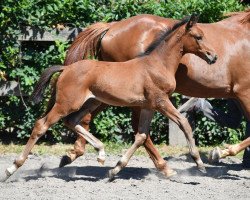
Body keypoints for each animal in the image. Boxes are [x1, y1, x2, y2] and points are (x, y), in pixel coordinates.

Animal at [2, 14, 217, 181]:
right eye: (198, 36)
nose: (213, 56)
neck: (157, 64)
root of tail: (66, 68)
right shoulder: (161, 101)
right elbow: (184, 123)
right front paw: (199, 163)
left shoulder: (148, 106)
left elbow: (141, 136)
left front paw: (115, 170)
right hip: (66, 104)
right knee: (42, 125)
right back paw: (11, 169)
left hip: (90, 102)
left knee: (72, 121)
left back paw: (101, 153)